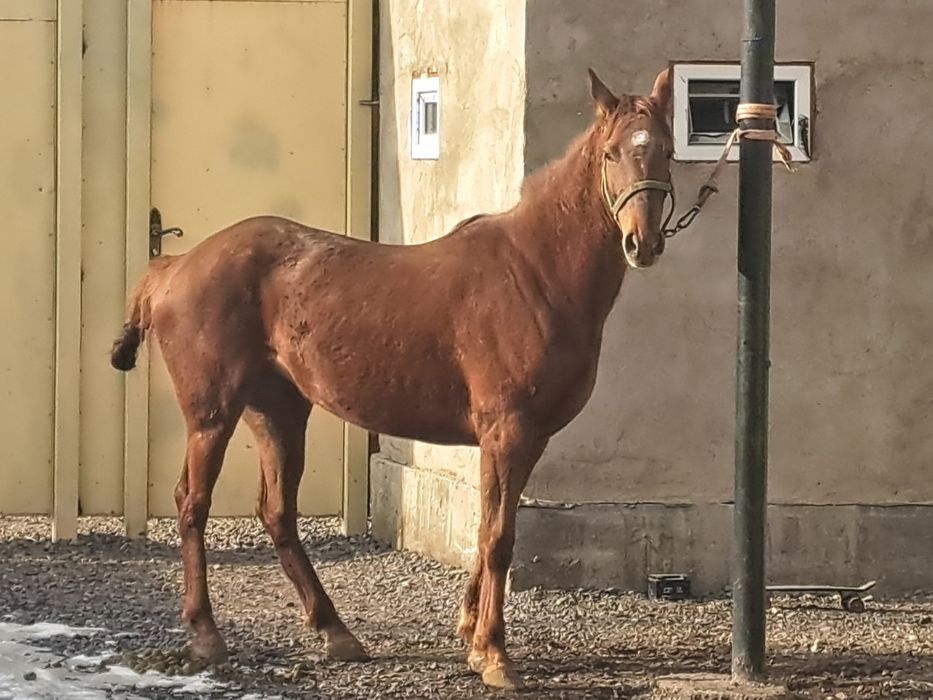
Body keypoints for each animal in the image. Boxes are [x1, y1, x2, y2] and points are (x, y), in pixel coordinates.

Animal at [110, 67, 676, 690]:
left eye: (667, 150)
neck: (534, 271)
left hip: (277, 411)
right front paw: (494, 655)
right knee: (192, 503)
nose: (642, 243)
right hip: (213, 413)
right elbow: (498, 537)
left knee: (277, 512)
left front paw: (471, 636)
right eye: (611, 153)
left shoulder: (525, 440)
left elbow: (488, 529)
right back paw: (207, 634)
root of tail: (173, 267)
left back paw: (335, 631)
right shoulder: (507, 432)